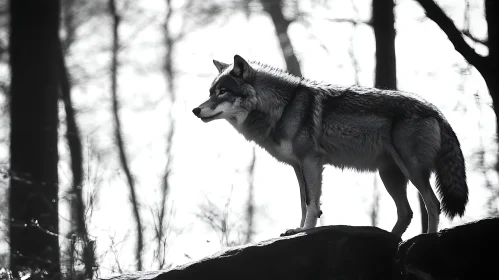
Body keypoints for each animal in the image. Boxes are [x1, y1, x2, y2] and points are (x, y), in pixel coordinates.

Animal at [191, 54, 468, 236]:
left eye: (223, 92)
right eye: (210, 92)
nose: (195, 110)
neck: (284, 107)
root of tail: (436, 111)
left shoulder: (311, 162)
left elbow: (312, 204)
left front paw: (305, 230)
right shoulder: (298, 167)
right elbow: (303, 201)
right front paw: (298, 228)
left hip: (412, 170)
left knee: (433, 204)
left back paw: (425, 239)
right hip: (389, 175)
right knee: (407, 212)